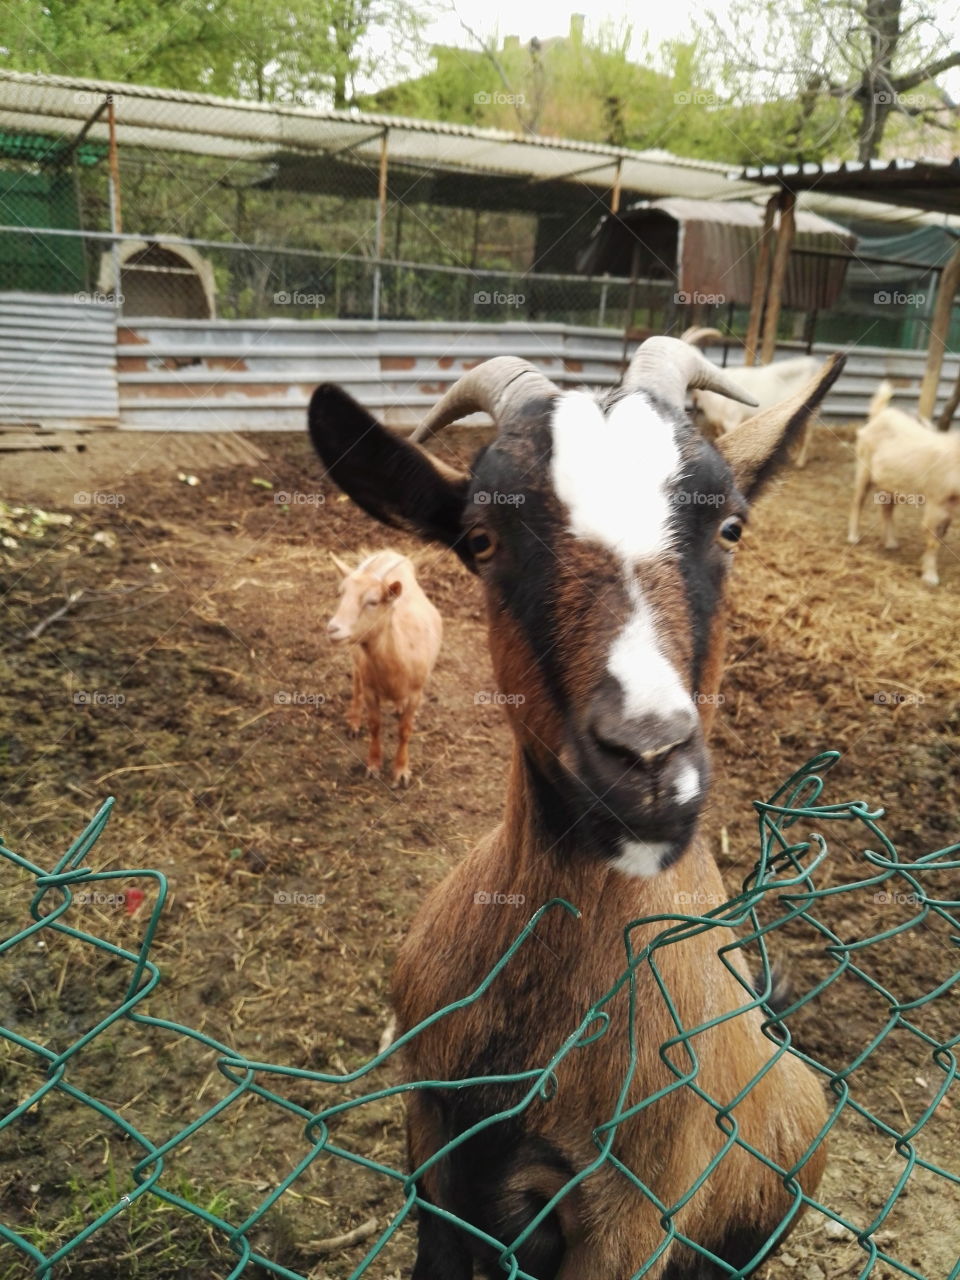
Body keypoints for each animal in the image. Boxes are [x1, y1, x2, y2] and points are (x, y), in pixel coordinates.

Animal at [327, 549, 442, 786]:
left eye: (373, 601)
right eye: (341, 593)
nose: (333, 629)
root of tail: (389, 552)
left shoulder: (416, 692)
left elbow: (405, 730)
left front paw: (401, 772)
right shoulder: (371, 689)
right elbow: (375, 725)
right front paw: (373, 765)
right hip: (355, 655)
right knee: (356, 683)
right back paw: (353, 722)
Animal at [848, 380, 960, 587]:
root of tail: (880, 413)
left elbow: (940, 535)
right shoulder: (937, 499)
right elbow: (932, 538)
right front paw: (930, 576)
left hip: (890, 481)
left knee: (886, 508)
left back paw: (891, 542)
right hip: (863, 466)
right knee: (857, 501)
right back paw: (853, 537)